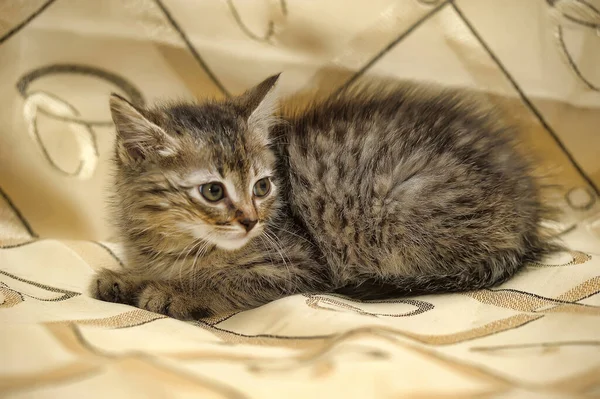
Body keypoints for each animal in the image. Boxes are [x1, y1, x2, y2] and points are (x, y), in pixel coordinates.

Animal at [91, 73, 556, 320]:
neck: (181, 243)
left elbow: (227, 279)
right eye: (212, 190)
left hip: (396, 208)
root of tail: (525, 214)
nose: (251, 221)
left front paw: (175, 291)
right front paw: (125, 277)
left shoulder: (296, 264)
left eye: (262, 186)